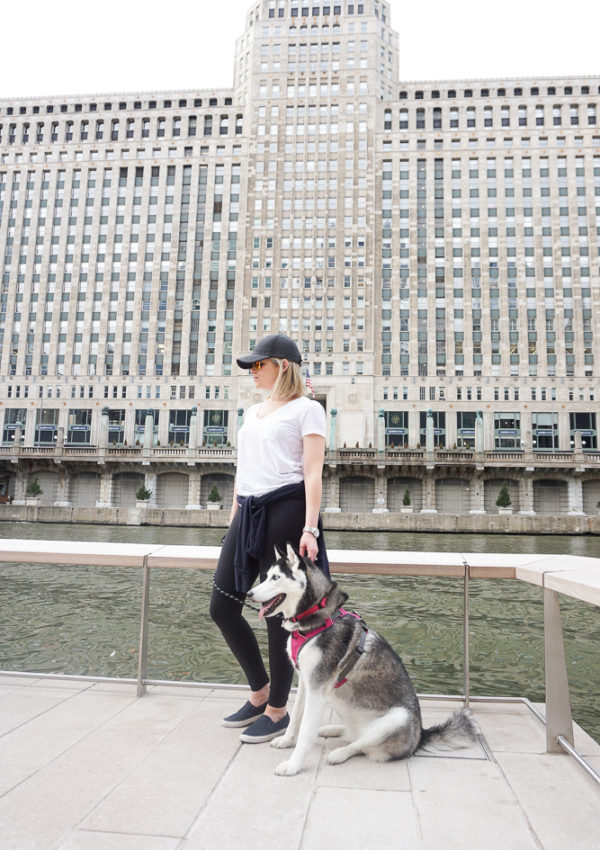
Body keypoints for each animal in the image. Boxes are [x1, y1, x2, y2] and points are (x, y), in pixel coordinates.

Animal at [246, 544, 476, 776]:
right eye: (266, 575)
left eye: (276, 577)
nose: (249, 593)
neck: (315, 620)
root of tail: (421, 736)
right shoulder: (305, 681)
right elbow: (295, 718)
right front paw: (286, 740)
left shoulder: (316, 689)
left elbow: (305, 731)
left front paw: (293, 765)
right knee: (353, 735)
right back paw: (331, 729)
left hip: (399, 717)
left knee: (360, 745)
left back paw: (339, 753)